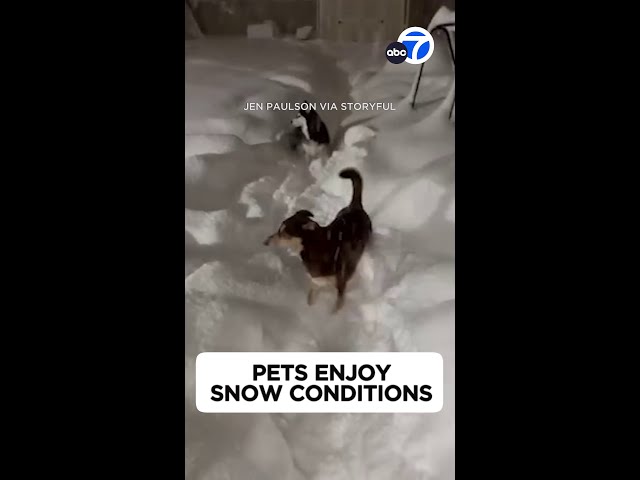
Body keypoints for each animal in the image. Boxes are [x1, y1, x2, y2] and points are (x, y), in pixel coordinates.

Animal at [262, 167, 370, 314]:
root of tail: (355, 206)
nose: (265, 241)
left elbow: (336, 307)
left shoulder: (340, 285)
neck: (315, 246)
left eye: (284, 233)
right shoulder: (316, 282)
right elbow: (310, 299)